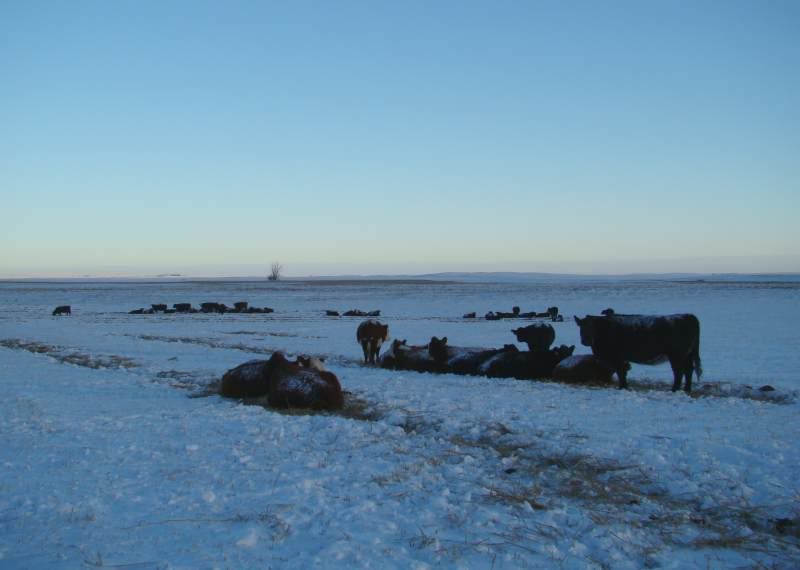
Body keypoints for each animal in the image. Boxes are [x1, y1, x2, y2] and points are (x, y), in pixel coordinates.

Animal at [574, 314, 702, 393]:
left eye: (592, 327)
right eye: (581, 327)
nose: (585, 341)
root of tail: (687, 316)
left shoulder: (617, 358)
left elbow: (621, 372)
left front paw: (622, 387)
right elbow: (623, 372)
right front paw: (624, 386)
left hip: (676, 356)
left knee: (679, 372)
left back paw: (674, 389)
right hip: (687, 355)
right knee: (689, 370)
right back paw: (687, 389)